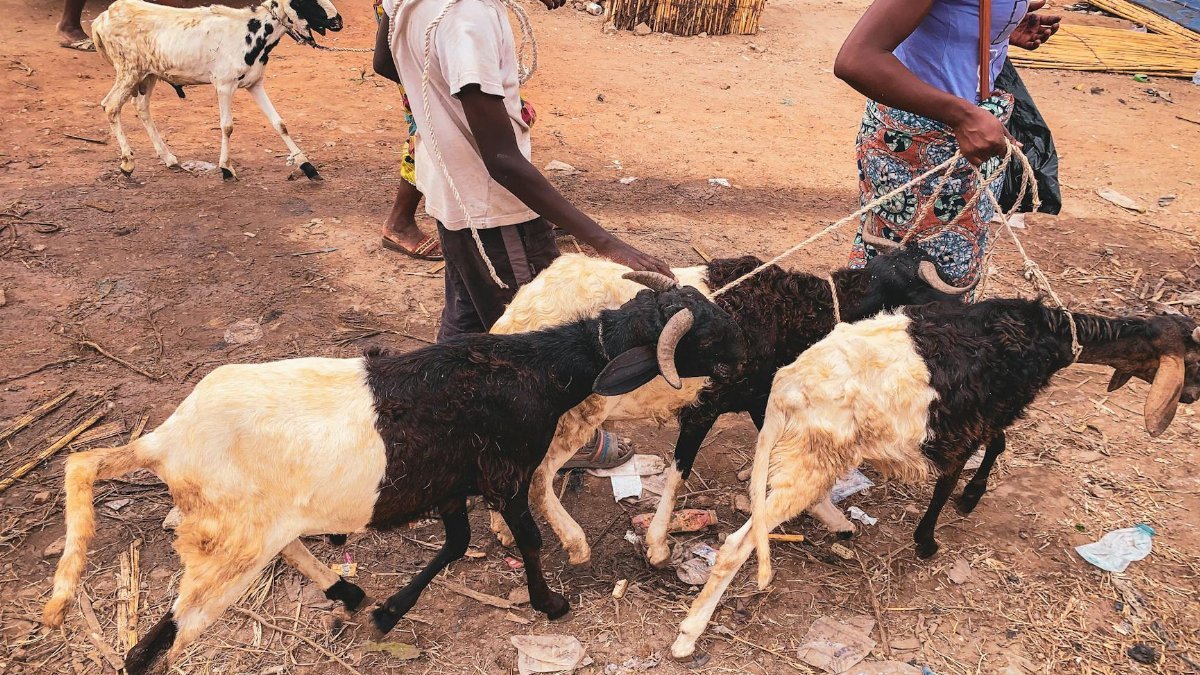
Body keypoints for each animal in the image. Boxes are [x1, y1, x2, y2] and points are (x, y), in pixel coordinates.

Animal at [42, 274, 745, 674]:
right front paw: (551, 604)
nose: (745, 363)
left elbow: (456, 544)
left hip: (254, 527)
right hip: (228, 547)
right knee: (154, 648)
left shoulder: (451, 483)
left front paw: (389, 612)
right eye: (705, 338)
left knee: (284, 550)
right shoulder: (505, 474)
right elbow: (526, 538)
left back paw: (348, 593)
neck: (536, 368)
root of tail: (165, 442)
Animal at [91, 0, 342, 180]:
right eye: (303, 0)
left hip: (148, 74)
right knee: (111, 106)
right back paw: (127, 163)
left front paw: (308, 166)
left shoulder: (255, 83)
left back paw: (169, 158)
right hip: (129, 70)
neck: (252, 31)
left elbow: (279, 123)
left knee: (141, 106)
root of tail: (102, 18)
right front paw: (226, 169)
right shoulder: (224, 84)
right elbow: (227, 127)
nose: (338, 21)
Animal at [486, 244, 965, 567]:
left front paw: (831, 517)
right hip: (573, 417)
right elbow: (679, 473)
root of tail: (515, 316)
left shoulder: (757, 397)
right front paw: (657, 546)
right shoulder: (707, 407)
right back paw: (574, 543)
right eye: (925, 284)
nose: (965, 309)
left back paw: (501, 529)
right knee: (539, 478)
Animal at [670, 299, 1200, 658]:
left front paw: (967, 499)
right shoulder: (974, 420)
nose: (1192, 395)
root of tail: (786, 386)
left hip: (805, 453)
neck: (1046, 336)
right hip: (814, 456)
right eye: (1192, 358)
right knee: (737, 544)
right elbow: (957, 473)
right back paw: (688, 636)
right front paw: (934, 534)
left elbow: (996, 446)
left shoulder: (984, 415)